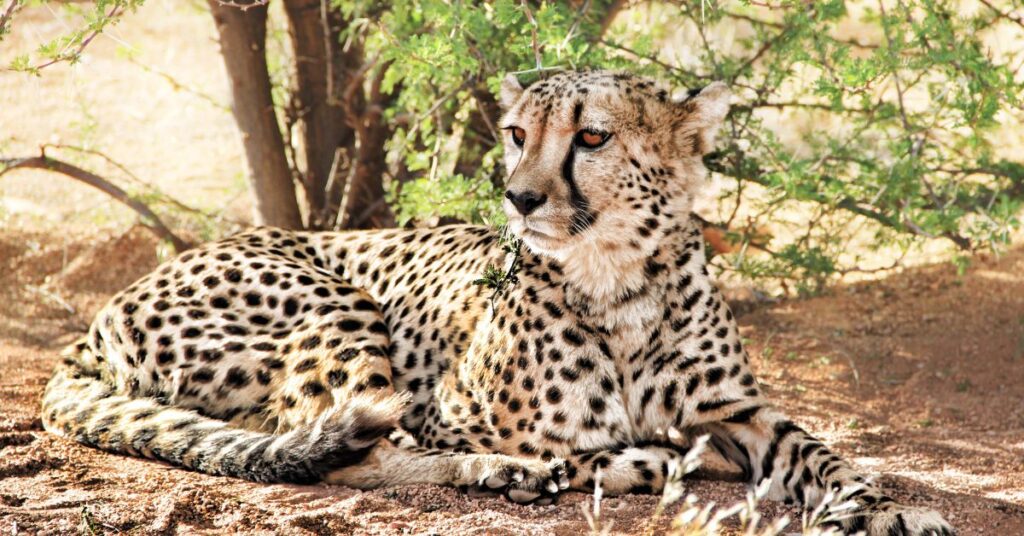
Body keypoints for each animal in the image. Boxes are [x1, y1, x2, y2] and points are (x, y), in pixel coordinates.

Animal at [41, 70, 953, 535]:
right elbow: (587, 448)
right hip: (334, 301)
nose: (517, 197)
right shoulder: (447, 408)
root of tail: (95, 323)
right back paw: (510, 473)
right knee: (345, 444)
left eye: (592, 137)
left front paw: (883, 511)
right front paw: (601, 462)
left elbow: (823, 453)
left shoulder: (737, 411)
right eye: (518, 133)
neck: (618, 278)